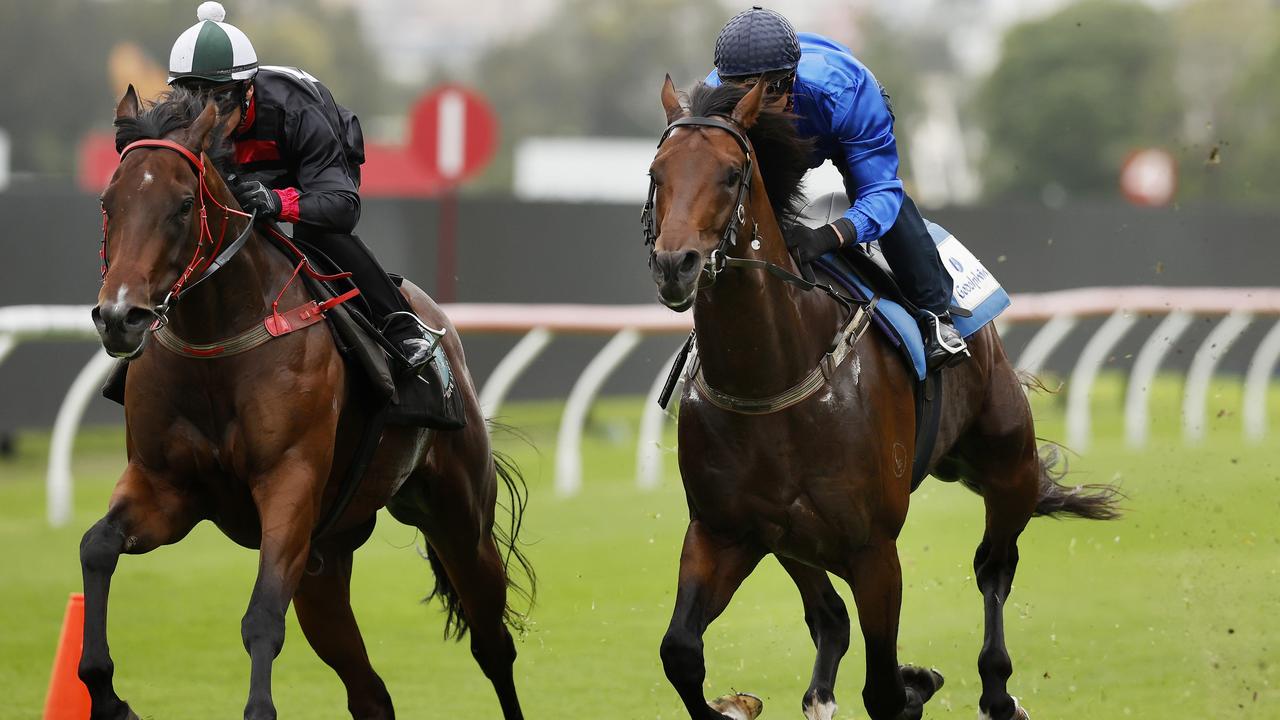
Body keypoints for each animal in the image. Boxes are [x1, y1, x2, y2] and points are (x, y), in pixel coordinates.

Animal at [81, 85, 529, 717]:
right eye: (108, 202)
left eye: (183, 206)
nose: (120, 316)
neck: (216, 344)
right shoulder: (166, 489)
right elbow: (96, 546)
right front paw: (108, 694)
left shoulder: (288, 483)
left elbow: (263, 615)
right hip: (325, 558)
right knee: (370, 693)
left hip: (459, 517)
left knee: (492, 645)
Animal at [645, 78, 1116, 717]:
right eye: (657, 172)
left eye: (730, 173)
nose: (676, 265)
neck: (770, 380)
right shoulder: (723, 531)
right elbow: (680, 653)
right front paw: (736, 703)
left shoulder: (874, 549)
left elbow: (886, 689)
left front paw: (918, 682)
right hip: (789, 540)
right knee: (830, 617)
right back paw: (821, 694)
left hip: (1006, 462)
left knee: (993, 568)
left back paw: (997, 691)